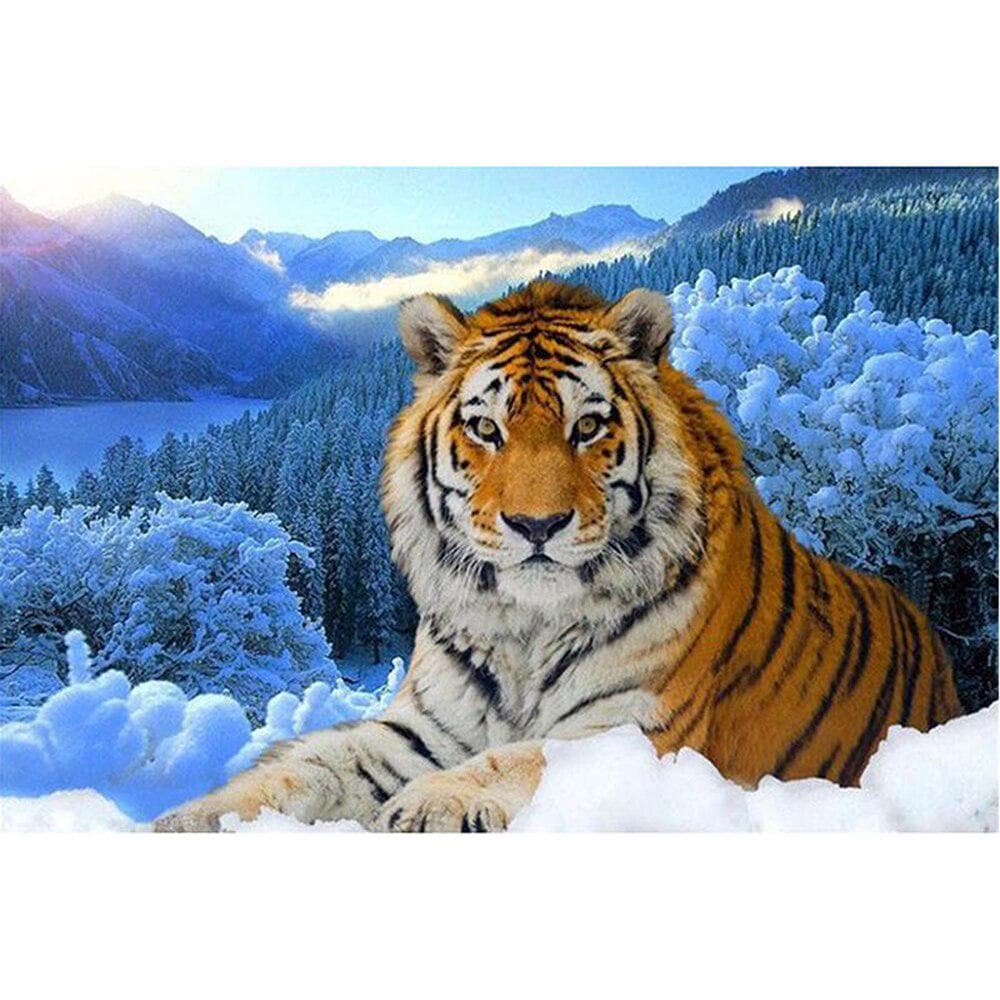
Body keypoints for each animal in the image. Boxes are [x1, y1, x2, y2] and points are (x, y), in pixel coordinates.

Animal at [155, 279, 964, 832]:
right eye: (485, 428)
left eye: (588, 427)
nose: (536, 524)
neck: (525, 628)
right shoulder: (420, 730)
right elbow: (306, 766)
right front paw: (190, 818)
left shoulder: (637, 731)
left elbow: (521, 755)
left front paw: (430, 804)